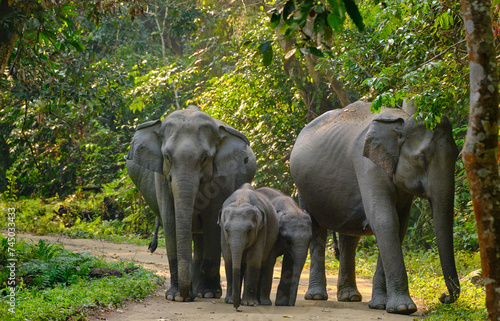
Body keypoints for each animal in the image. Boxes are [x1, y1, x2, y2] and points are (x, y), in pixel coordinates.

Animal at [127, 106, 256, 302]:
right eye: (167, 156)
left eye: (205, 157)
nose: (186, 296)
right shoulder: (161, 178)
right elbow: (170, 220)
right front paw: (175, 297)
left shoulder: (224, 178)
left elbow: (213, 223)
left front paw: (209, 293)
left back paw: (202, 291)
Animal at [290, 101, 460, 314]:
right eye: (422, 158)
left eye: (457, 155)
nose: (444, 296)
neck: (402, 121)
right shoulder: (368, 165)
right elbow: (385, 220)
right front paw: (403, 308)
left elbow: (399, 225)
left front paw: (380, 305)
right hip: (303, 187)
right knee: (317, 229)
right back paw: (317, 296)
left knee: (348, 238)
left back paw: (350, 297)